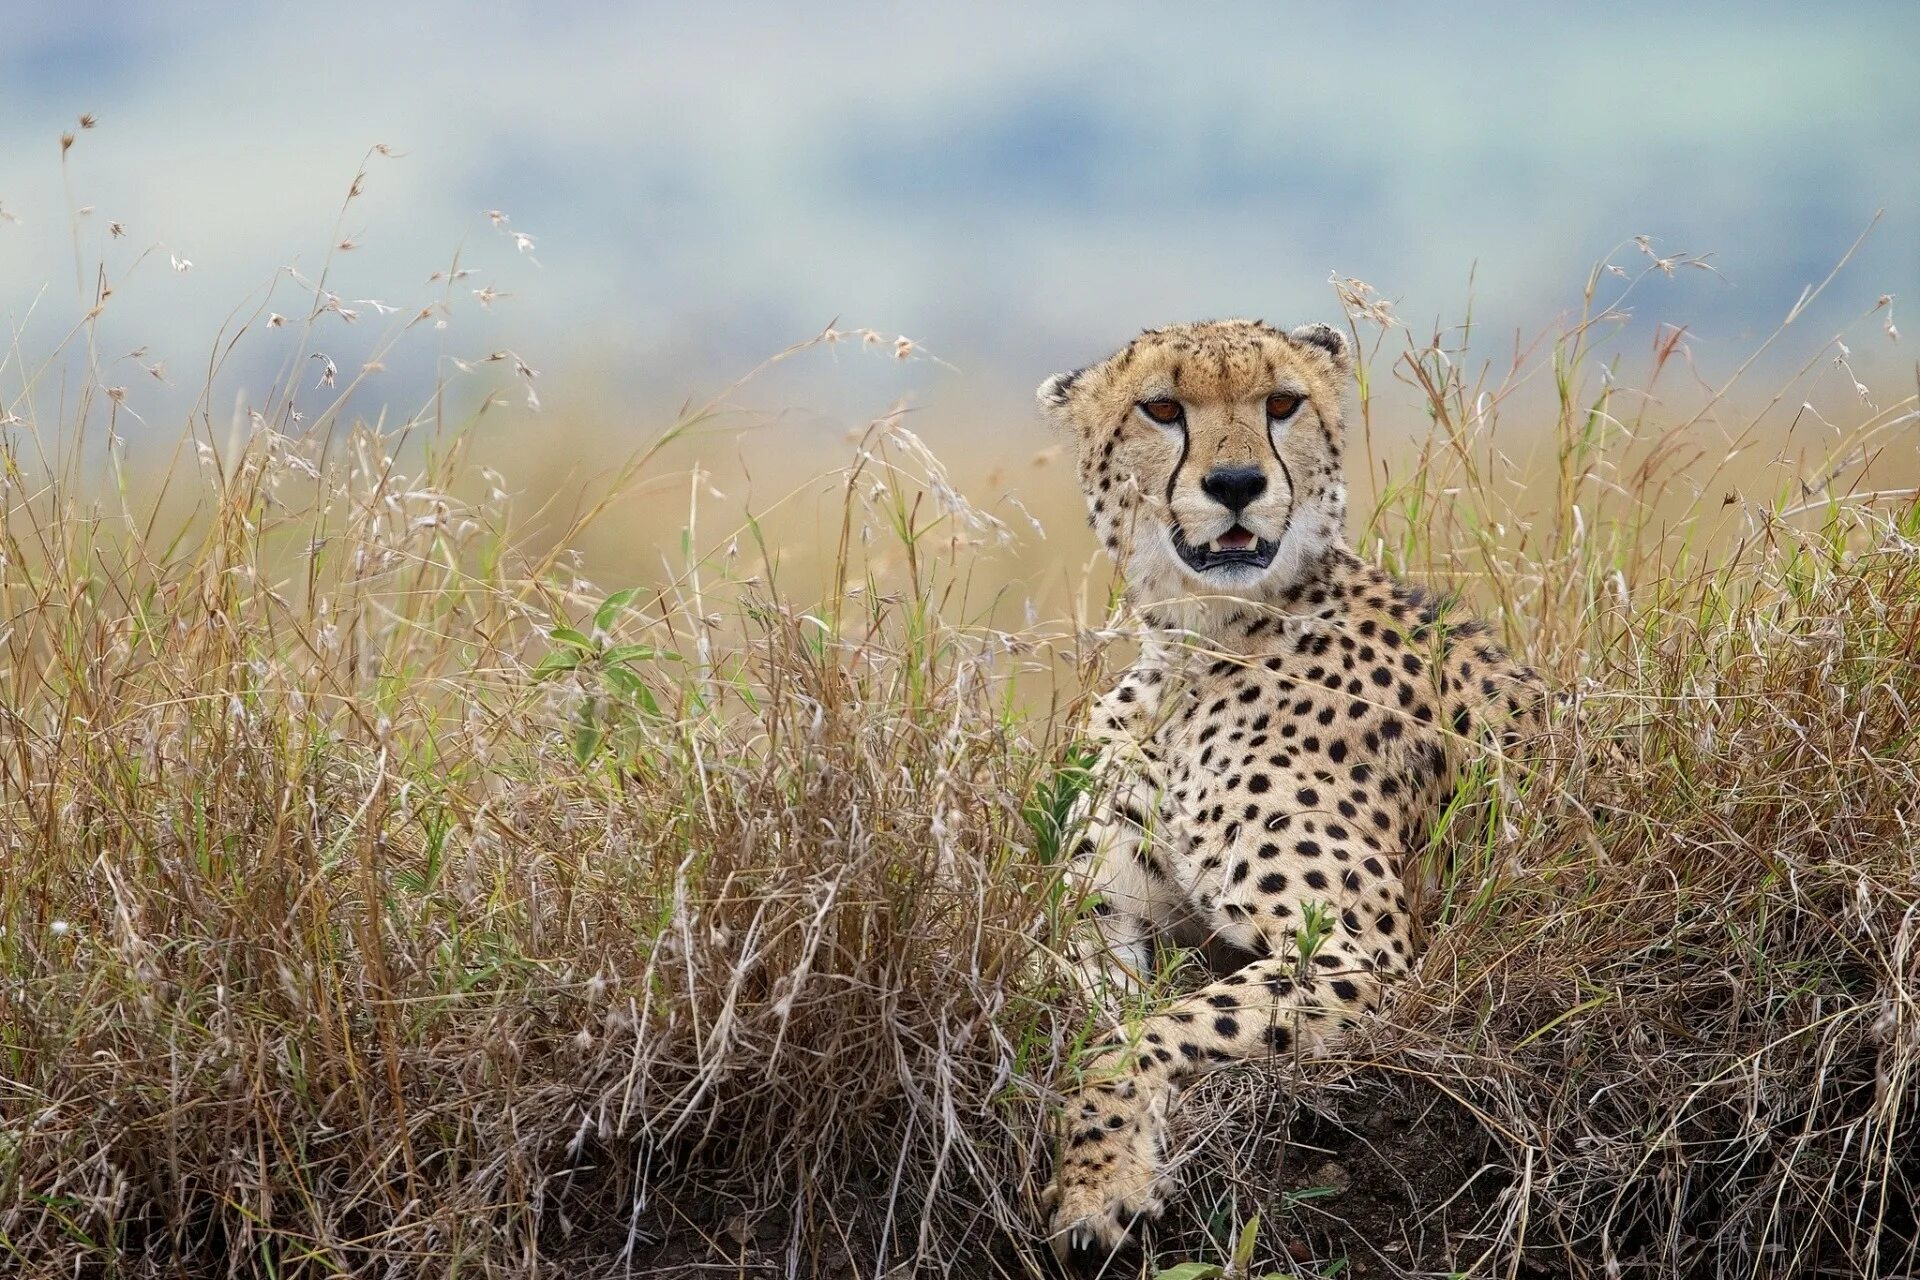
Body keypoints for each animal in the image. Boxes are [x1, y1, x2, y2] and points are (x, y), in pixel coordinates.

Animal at [1036, 318, 1543, 1258]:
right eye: (1162, 409)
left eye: (1282, 402)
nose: (1236, 483)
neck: (1198, 645)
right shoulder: (1098, 918)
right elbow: (1091, 1013)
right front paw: (1102, 1169)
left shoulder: (1359, 955)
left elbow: (1144, 1031)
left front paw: (1099, 1187)